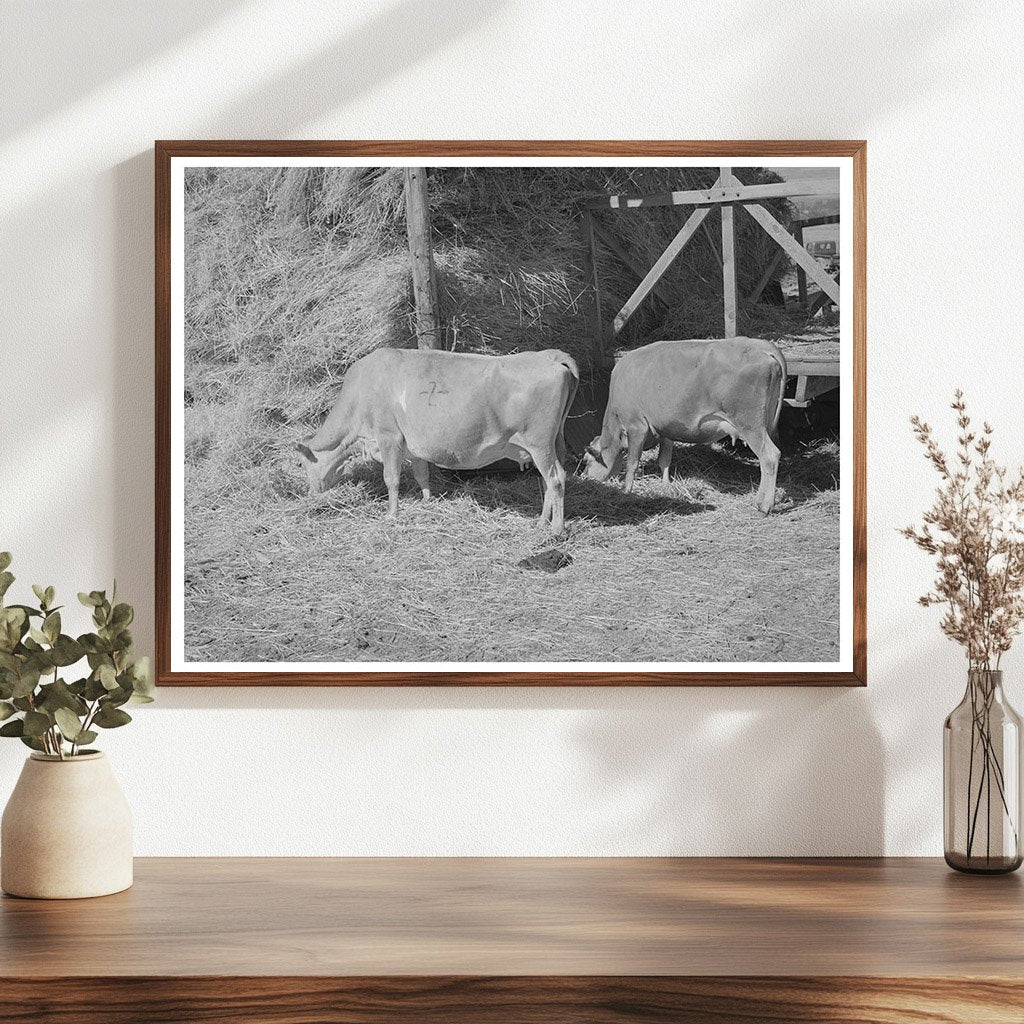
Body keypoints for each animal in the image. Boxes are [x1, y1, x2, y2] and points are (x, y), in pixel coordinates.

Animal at [297, 347, 579, 534]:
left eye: (302, 465)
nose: (311, 494)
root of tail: (550, 355)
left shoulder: (388, 437)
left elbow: (391, 478)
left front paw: (391, 515)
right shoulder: (414, 446)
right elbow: (422, 474)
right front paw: (427, 501)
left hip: (539, 442)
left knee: (556, 479)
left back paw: (556, 529)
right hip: (553, 443)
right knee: (548, 480)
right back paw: (542, 522)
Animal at [582, 337, 787, 514]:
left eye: (586, 461)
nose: (584, 477)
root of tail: (762, 345)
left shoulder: (636, 426)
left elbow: (632, 463)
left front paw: (626, 491)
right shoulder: (666, 429)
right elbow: (664, 459)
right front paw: (666, 484)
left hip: (750, 424)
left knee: (769, 456)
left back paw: (764, 505)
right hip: (766, 423)